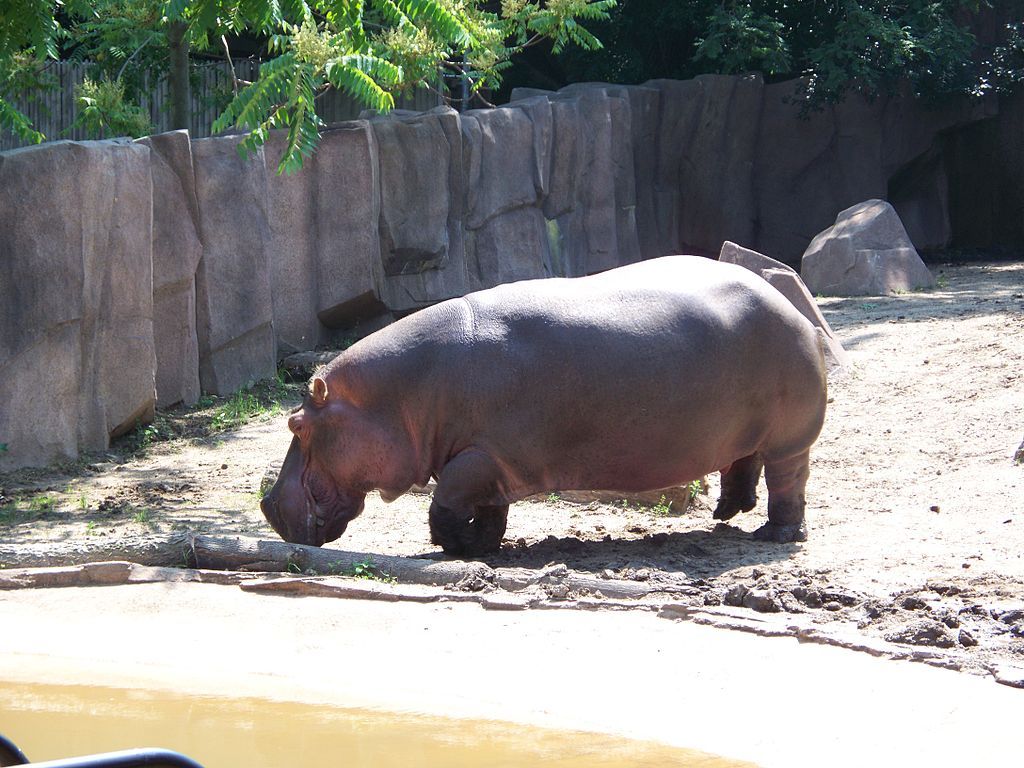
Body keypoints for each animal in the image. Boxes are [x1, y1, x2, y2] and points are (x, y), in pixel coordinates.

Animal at [261, 255, 828, 556]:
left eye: (295, 424)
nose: (267, 506)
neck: (398, 397)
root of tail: (787, 302)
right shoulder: (488, 459)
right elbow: (488, 508)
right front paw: (484, 545)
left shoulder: (480, 457)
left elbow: (446, 503)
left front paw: (458, 548)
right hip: (744, 429)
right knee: (742, 462)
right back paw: (725, 512)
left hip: (790, 437)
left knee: (788, 480)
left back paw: (774, 534)